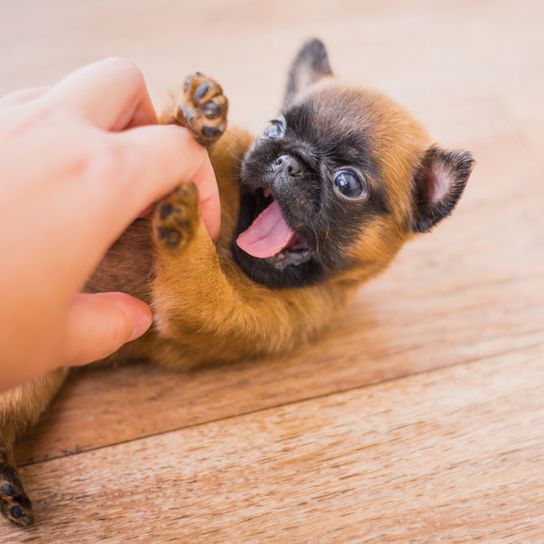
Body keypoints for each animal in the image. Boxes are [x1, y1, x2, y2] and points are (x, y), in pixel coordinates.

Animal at [0, 40, 472, 524]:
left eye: (347, 183)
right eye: (275, 128)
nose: (289, 161)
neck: (230, 240)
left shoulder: (217, 315)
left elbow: (197, 272)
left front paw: (186, 225)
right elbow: (166, 133)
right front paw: (194, 114)